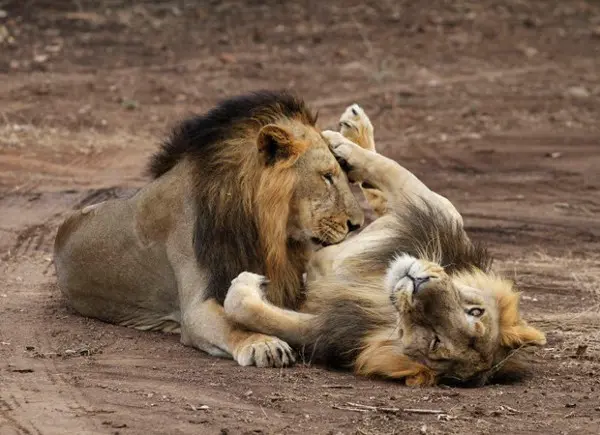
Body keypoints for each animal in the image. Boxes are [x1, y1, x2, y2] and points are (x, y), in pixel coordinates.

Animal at [223, 105, 548, 388]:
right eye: (475, 311)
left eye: (436, 341)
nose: (419, 284)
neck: (377, 284)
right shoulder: (437, 209)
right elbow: (392, 171)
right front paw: (342, 146)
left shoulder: (328, 327)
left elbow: (252, 311)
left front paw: (246, 285)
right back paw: (352, 129)